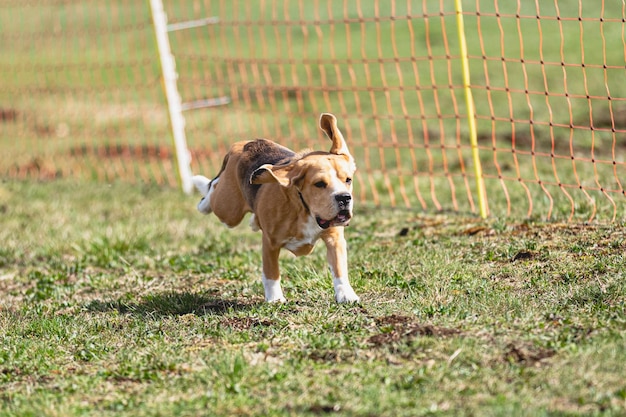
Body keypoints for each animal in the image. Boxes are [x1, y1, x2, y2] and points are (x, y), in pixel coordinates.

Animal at [190, 114, 358, 302]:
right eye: (319, 184)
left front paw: (346, 294)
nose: (344, 198)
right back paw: (203, 199)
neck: (303, 207)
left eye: (348, 180)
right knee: (213, 189)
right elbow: (272, 274)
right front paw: (275, 299)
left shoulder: (335, 239)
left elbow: (339, 269)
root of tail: (242, 145)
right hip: (228, 211)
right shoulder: (270, 243)